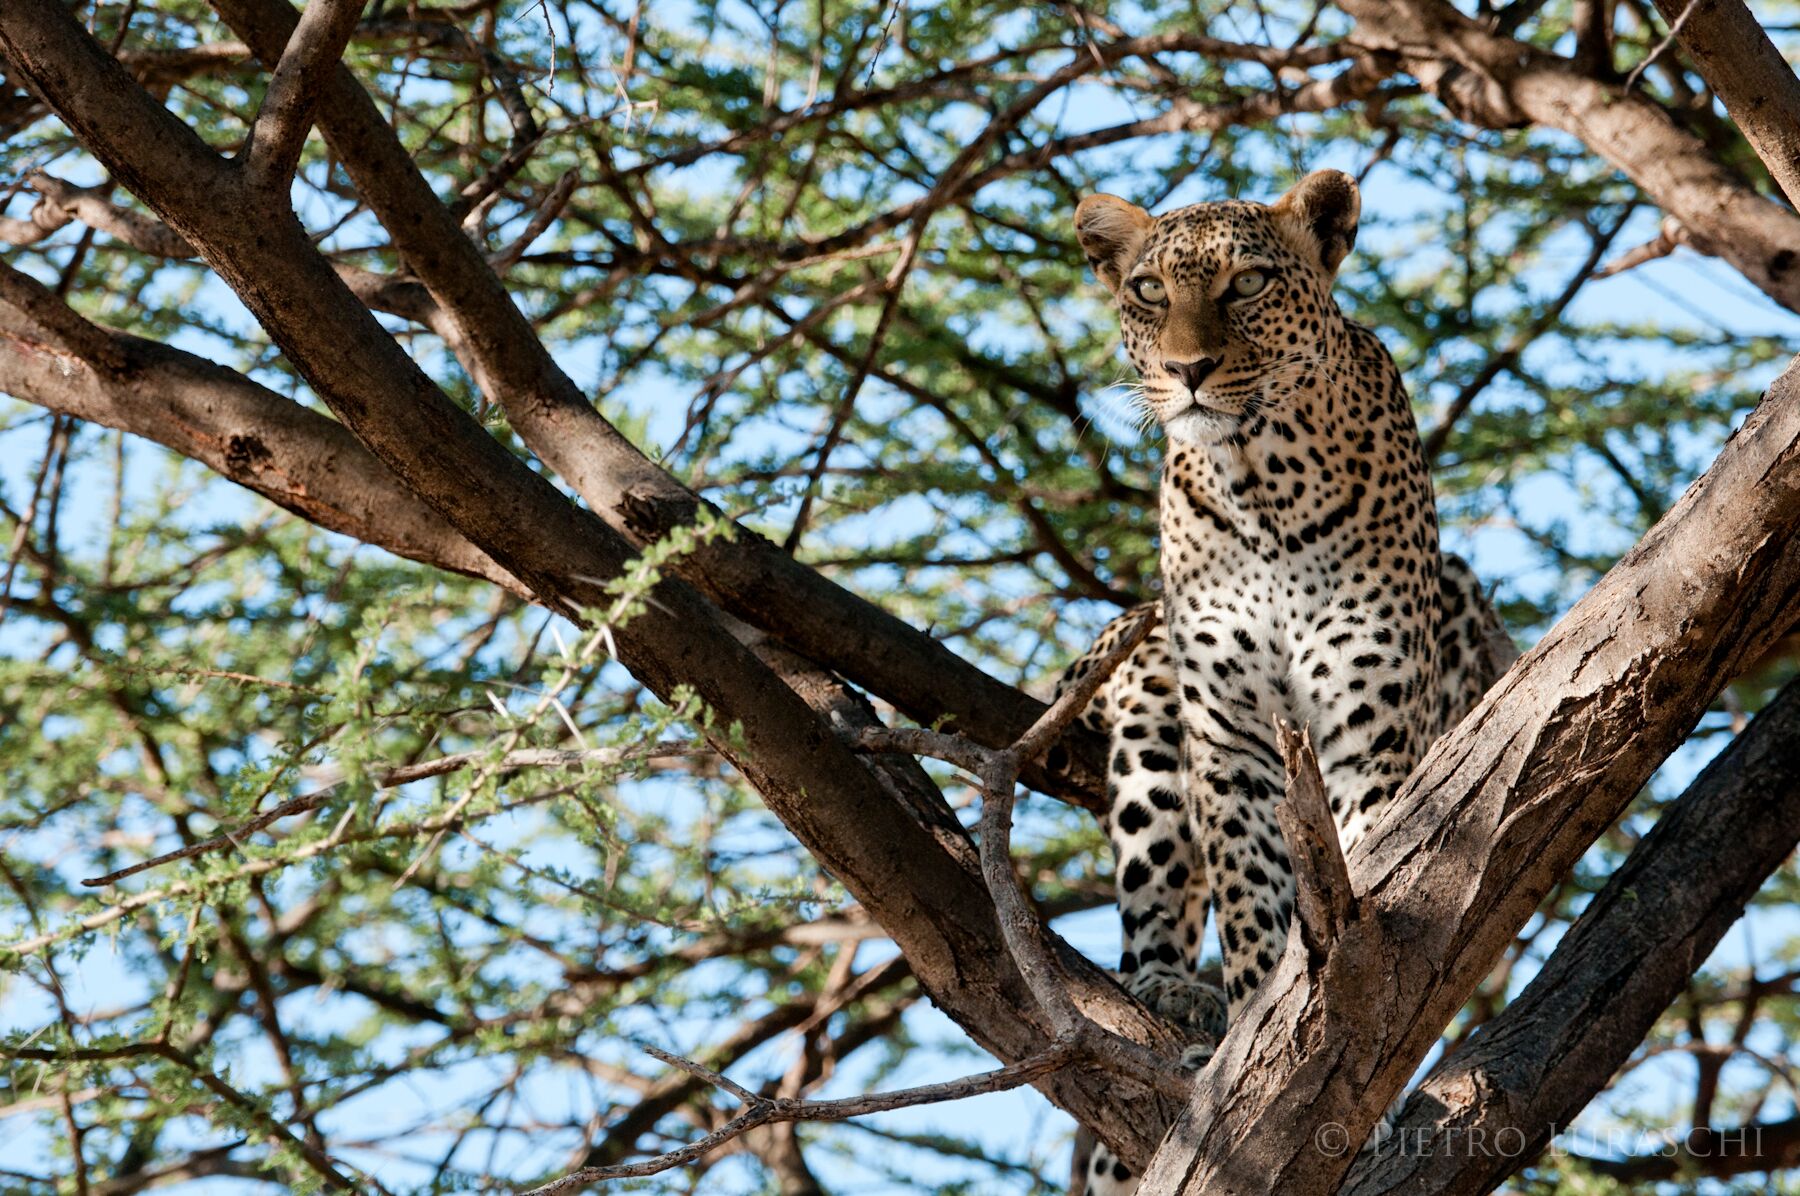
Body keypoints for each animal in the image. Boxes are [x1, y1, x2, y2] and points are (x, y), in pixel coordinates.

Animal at [1058, 170, 1512, 1196]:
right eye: (1150, 291)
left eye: (1249, 285)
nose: (1187, 369)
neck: (1261, 480)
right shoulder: (1228, 730)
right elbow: (1249, 897)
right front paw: (1253, 1036)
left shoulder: (1365, 723)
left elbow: (1367, 865)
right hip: (1151, 702)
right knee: (1153, 894)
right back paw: (1174, 994)